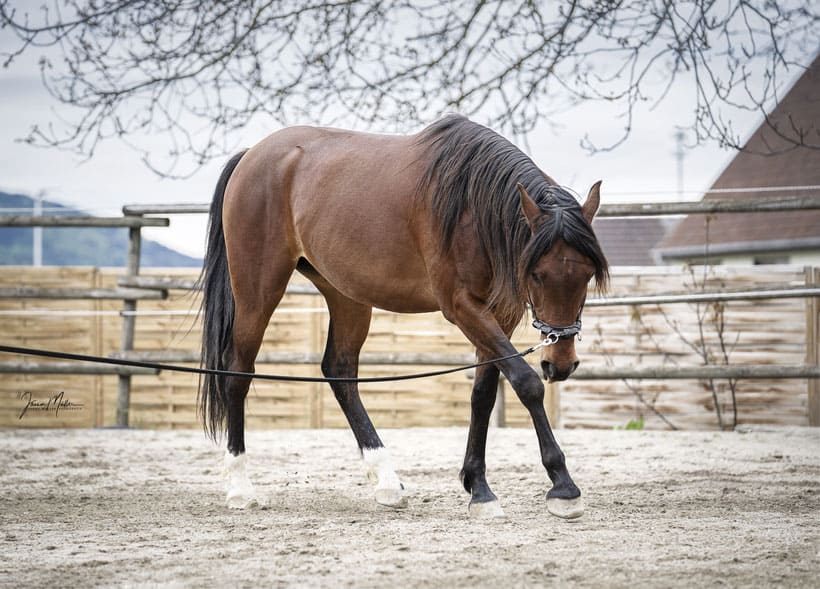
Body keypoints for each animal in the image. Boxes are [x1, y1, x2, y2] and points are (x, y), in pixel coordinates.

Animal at [199, 115, 608, 520]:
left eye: (588, 273)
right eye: (537, 274)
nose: (560, 363)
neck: (472, 205)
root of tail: (252, 155)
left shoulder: (499, 314)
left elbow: (483, 395)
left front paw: (478, 487)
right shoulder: (462, 306)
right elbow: (526, 382)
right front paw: (563, 486)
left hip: (346, 295)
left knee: (340, 372)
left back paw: (385, 481)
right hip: (258, 291)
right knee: (237, 372)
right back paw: (240, 487)